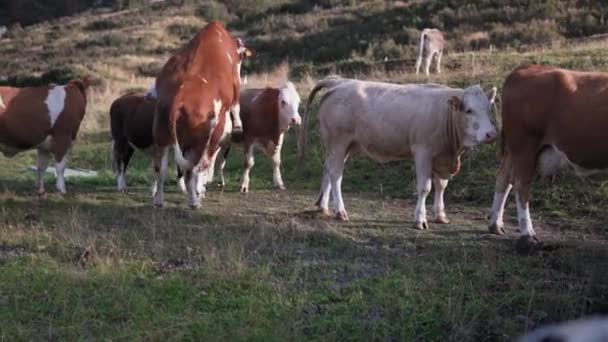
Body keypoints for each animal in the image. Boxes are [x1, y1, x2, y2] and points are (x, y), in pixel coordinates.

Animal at [153, 22, 255, 208]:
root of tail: (179, 97)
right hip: (205, 139)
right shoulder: (235, 84)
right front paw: (238, 126)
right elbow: (236, 105)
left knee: (161, 167)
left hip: (161, 133)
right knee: (197, 166)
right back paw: (195, 200)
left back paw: (159, 200)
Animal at [296, 76, 496, 228]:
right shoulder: (423, 152)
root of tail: (340, 81)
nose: (491, 134)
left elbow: (441, 186)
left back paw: (323, 206)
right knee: (336, 175)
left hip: (343, 147)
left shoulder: (442, 156)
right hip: (338, 142)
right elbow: (425, 187)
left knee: (327, 169)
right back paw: (340, 211)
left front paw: (440, 215)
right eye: (469, 110)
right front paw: (420, 219)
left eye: (489, 108)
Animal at [486, 62, 608, 247]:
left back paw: (496, 224)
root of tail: (526, 68)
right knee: (521, 184)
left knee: (504, 178)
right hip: (524, 146)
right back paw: (527, 234)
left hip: (515, 150)